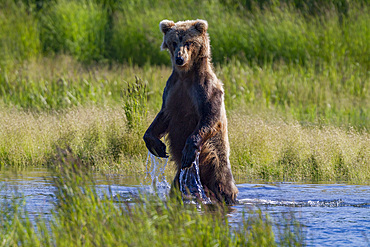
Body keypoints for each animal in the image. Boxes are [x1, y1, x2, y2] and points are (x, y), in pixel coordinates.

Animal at [143, 18, 238, 205]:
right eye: (174, 42)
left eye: (188, 42)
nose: (180, 58)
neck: (186, 75)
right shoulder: (172, 90)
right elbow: (162, 117)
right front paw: (157, 145)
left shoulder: (204, 89)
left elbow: (210, 117)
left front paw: (188, 149)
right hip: (181, 177)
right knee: (177, 187)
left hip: (216, 161)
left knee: (224, 186)